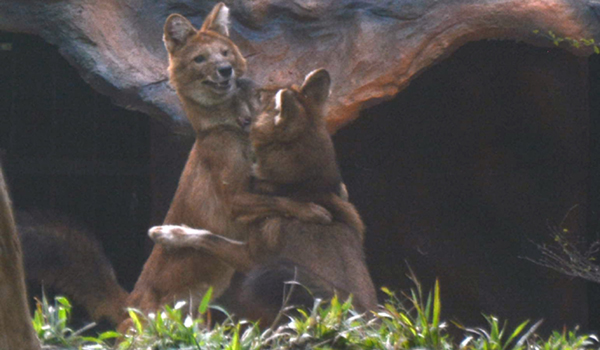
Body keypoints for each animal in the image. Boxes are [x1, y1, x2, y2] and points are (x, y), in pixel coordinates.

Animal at [126, 2, 330, 322]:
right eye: (200, 59)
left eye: (224, 52)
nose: (225, 69)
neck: (235, 126)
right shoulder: (234, 198)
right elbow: (280, 200)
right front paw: (312, 210)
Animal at [149, 69, 376, 326]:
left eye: (259, 95)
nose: (237, 79)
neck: (306, 186)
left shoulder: (252, 258)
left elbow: (208, 237)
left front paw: (168, 234)